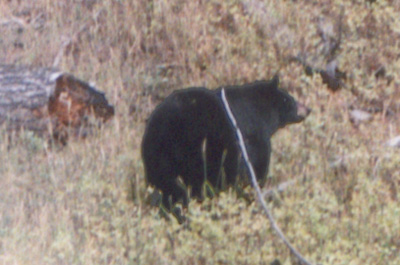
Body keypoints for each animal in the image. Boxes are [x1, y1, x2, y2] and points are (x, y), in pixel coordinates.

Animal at [142, 75, 310, 213]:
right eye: (290, 99)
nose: (307, 109)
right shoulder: (253, 137)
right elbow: (256, 167)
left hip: (157, 156)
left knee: (167, 186)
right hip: (205, 149)